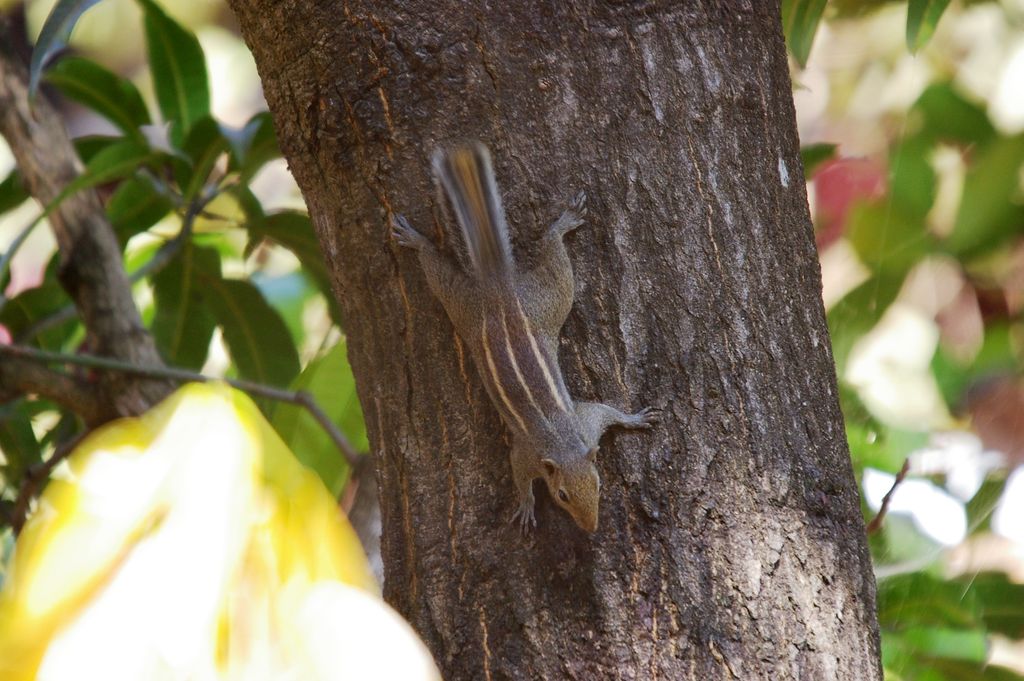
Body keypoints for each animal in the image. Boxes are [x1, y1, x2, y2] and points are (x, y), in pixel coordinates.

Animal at [392, 143, 657, 533]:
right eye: (562, 495)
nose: (591, 527)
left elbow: (607, 411)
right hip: (486, 302)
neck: (562, 442)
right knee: (440, 266)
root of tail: (498, 287)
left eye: (598, 483)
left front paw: (635, 419)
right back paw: (417, 240)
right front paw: (527, 504)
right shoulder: (528, 454)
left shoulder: (586, 425)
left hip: (537, 302)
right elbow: (519, 475)